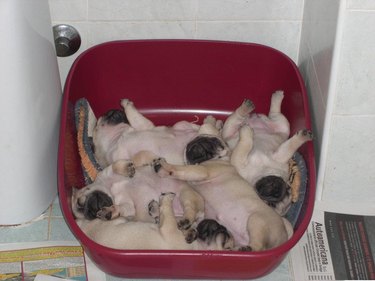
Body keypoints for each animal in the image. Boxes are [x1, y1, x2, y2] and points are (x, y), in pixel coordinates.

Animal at [76, 192, 235, 249]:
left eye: (227, 245)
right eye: (226, 235)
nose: (222, 227)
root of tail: (82, 228)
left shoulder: (169, 228)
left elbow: (168, 211)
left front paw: (165, 199)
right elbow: (165, 215)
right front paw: (155, 208)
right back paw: (109, 211)